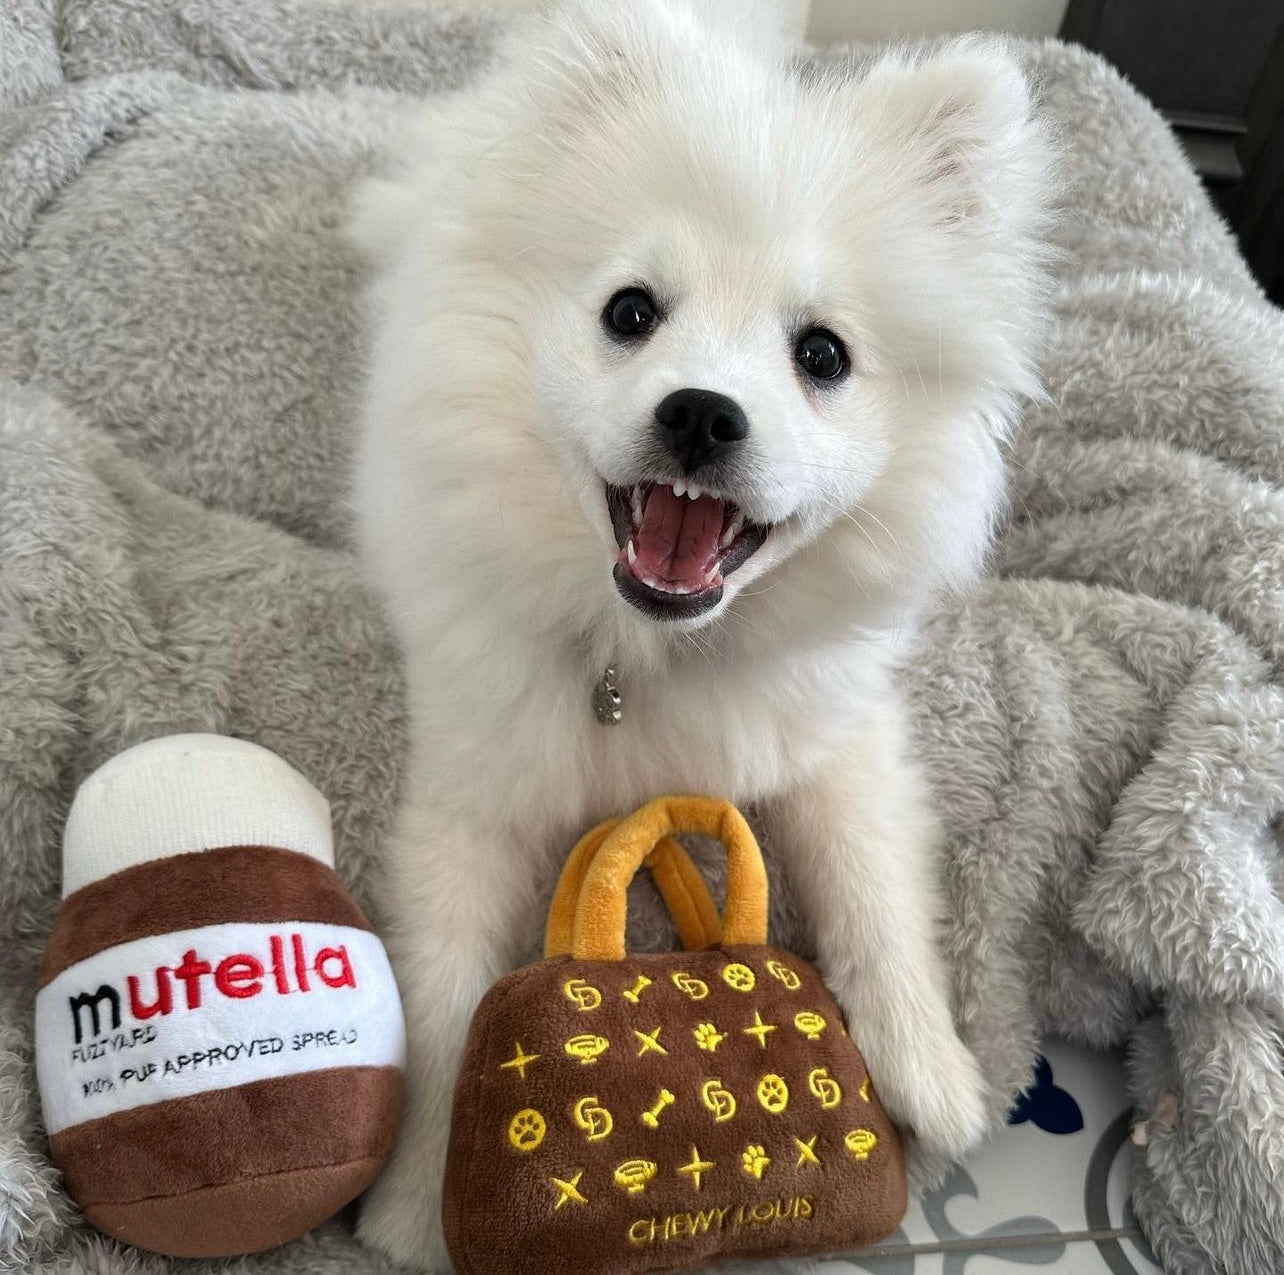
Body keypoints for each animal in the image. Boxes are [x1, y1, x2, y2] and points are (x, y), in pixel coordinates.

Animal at [349, 0, 1042, 1263]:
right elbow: (442, 988)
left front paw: (932, 1075)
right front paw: (422, 1200)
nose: (705, 413)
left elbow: (873, 888)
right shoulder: (472, 788)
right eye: (630, 313)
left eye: (823, 355)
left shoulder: (834, 731)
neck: (651, 656)